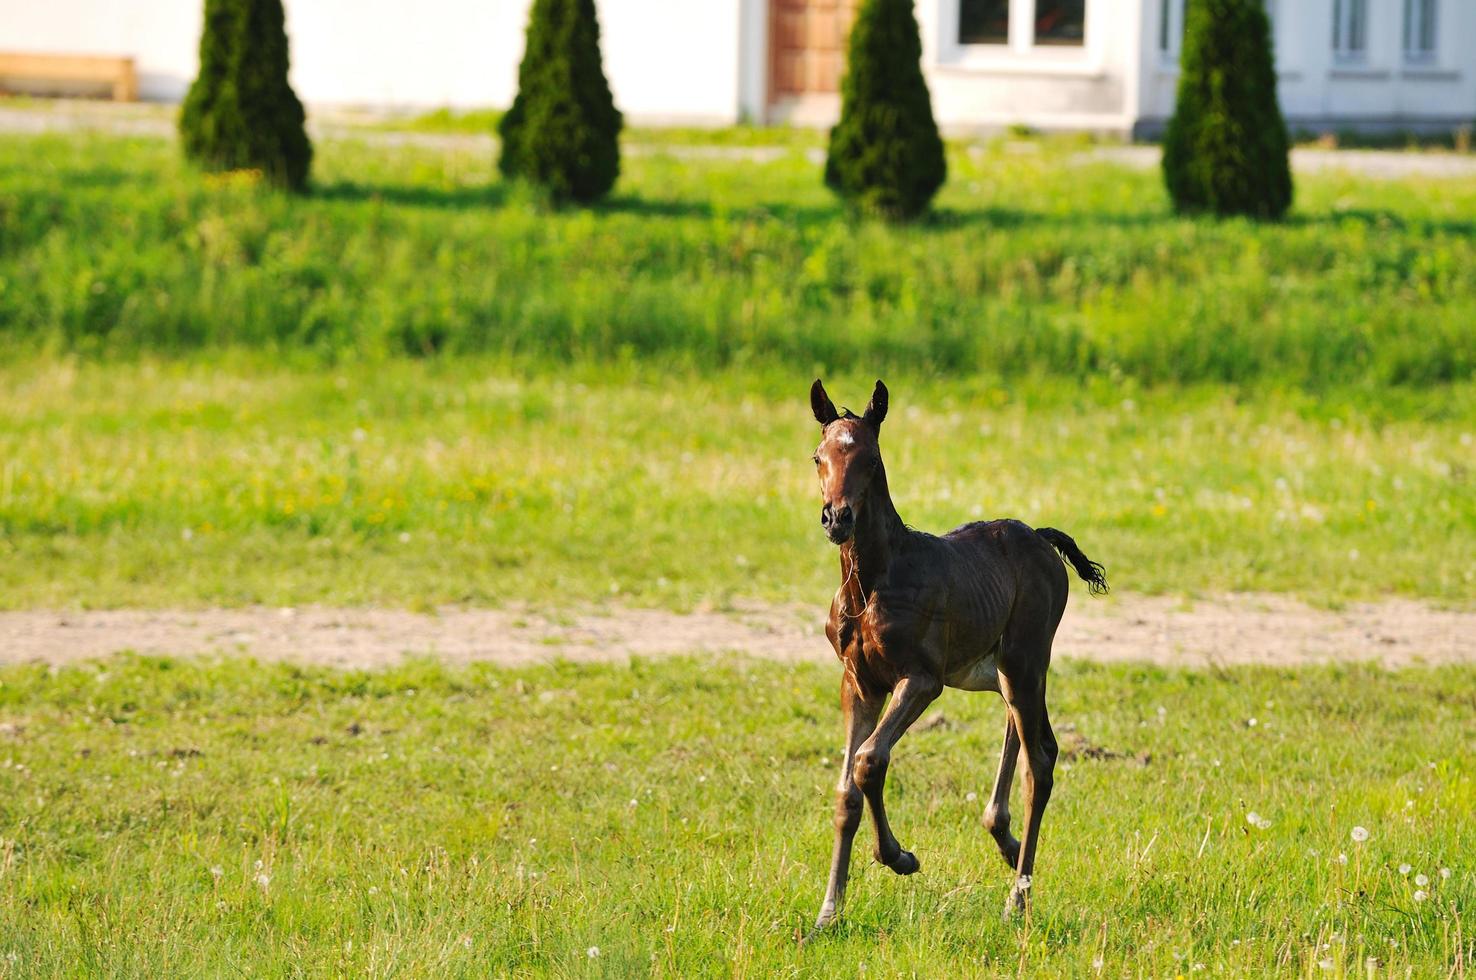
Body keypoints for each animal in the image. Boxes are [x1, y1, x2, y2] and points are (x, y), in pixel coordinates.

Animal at [808, 377, 1109, 938]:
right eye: (818, 457)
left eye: (871, 459)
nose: (837, 518)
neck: (871, 582)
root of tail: (1042, 538)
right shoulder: (858, 682)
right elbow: (845, 793)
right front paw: (827, 914)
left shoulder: (922, 678)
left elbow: (869, 760)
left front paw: (900, 857)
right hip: (994, 669)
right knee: (1031, 737)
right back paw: (1009, 844)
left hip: (1026, 657)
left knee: (1040, 760)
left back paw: (1017, 899)